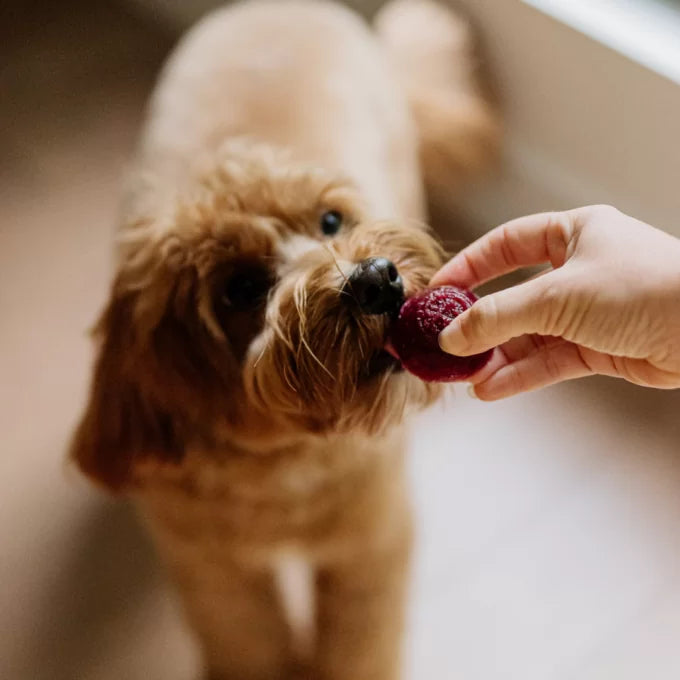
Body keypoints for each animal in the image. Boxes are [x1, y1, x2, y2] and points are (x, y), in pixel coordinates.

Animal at [71, 2, 500, 676]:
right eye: (241, 287)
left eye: (330, 221)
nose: (375, 279)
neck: (281, 466)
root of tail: (283, 7)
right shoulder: (212, 569)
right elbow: (247, 642)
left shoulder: (369, 547)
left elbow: (359, 645)